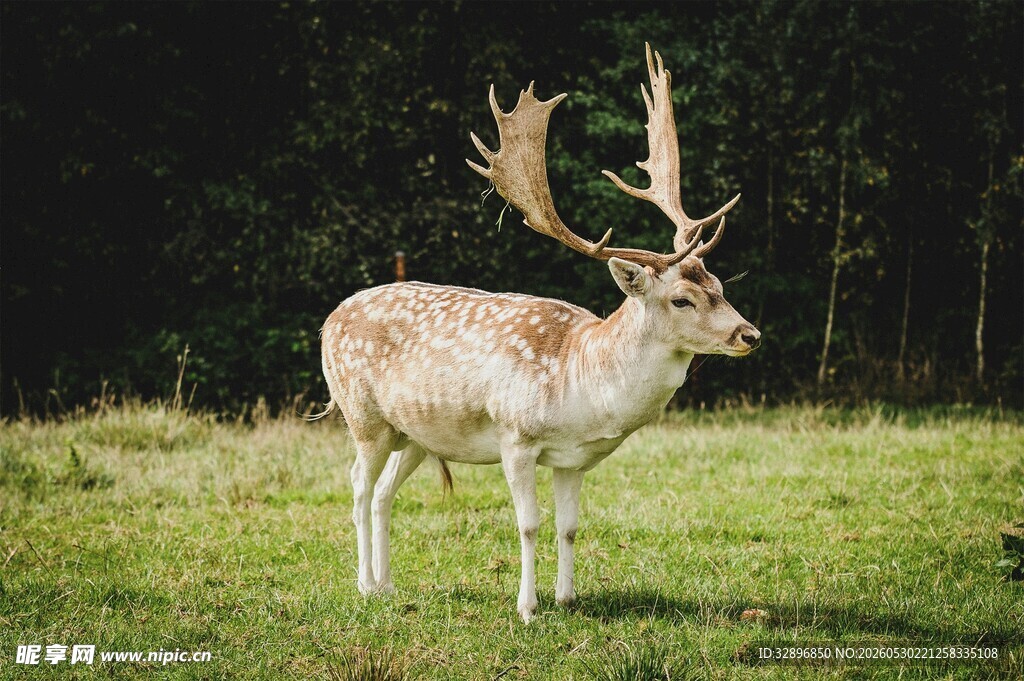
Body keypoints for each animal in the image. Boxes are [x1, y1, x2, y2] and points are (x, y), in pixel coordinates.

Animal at [319, 44, 760, 623]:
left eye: (719, 284)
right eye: (681, 299)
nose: (749, 334)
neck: (582, 382)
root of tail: (328, 321)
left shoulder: (574, 459)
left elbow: (568, 527)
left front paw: (567, 598)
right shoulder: (516, 437)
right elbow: (528, 524)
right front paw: (528, 608)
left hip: (413, 431)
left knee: (383, 493)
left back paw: (389, 585)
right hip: (361, 414)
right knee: (356, 485)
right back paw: (365, 585)